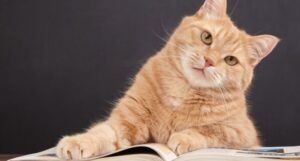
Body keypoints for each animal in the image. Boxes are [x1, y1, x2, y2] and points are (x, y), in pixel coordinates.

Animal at [55, 0, 278, 158]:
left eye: (231, 60)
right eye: (207, 37)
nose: (209, 61)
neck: (182, 92)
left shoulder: (241, 134)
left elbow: (209, 131)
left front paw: (183, 137)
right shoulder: (125, 122)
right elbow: (102, 132)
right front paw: (78, 142)